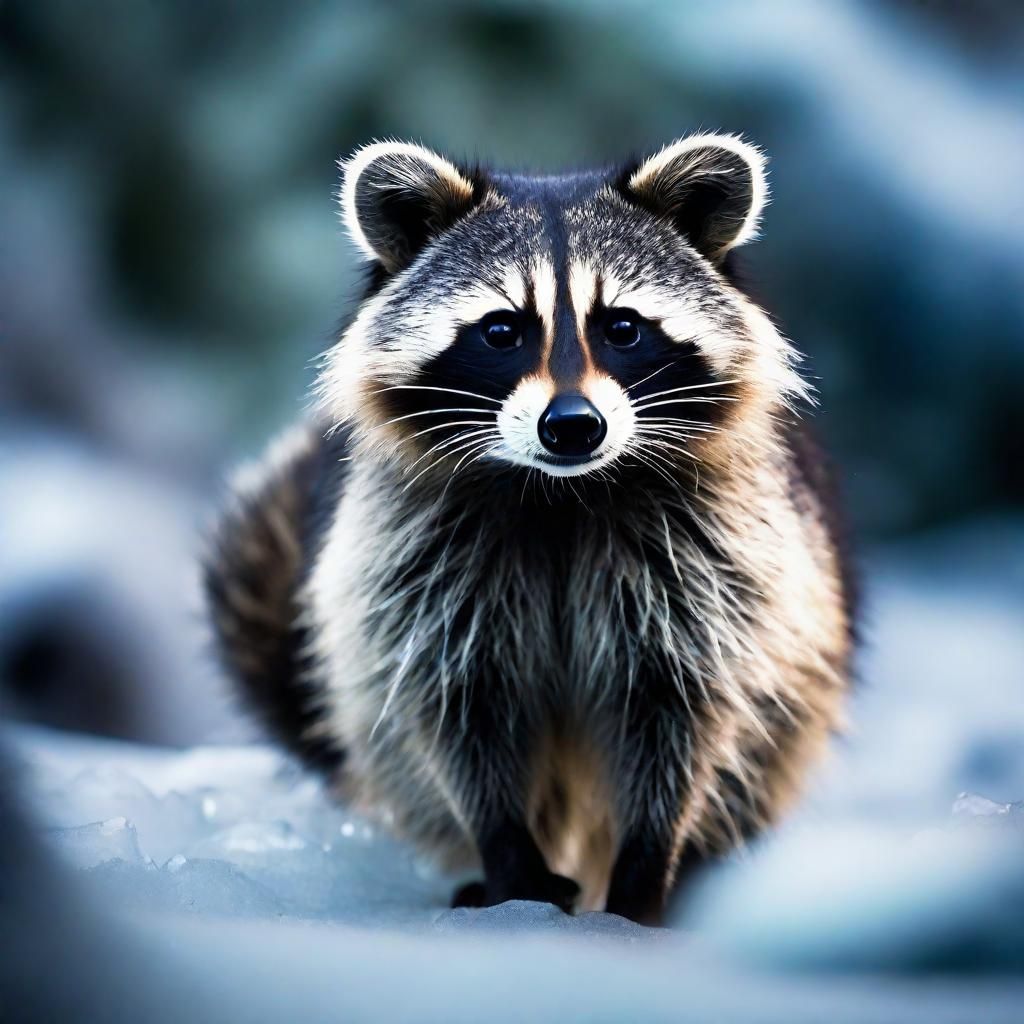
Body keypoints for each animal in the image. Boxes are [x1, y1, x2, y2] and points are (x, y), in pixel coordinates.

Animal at [204, 133, 856, 925]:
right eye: (502, 331)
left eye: (623, 328)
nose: (573, 425)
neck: (561, 493)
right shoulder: (415, 565)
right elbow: (457, 710)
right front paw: (511, 862)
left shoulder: (715, 561)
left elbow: (678, 712)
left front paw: (644, 872)